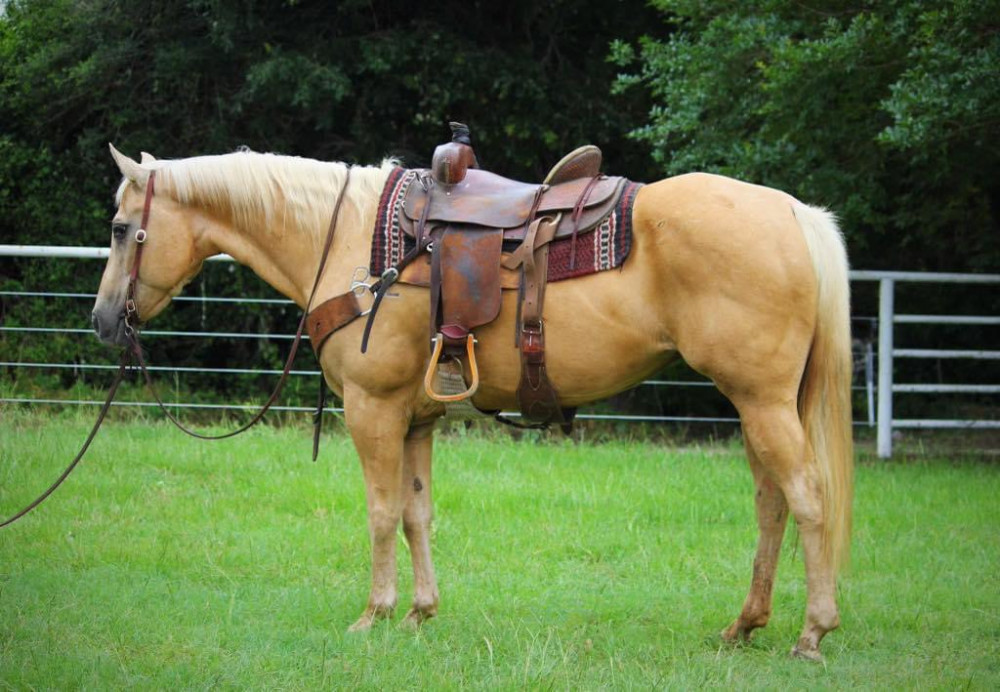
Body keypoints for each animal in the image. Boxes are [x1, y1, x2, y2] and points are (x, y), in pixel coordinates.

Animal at [93, 144, 853, 660]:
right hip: (756, 405)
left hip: (763, 402)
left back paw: (813, 632)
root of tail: (792, 212)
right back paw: (745, 624)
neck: (350, 242)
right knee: (771, 505)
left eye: (121, 227)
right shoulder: (416, 421)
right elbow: (416, 514)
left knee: (808, 498)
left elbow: (379, 513)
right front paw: (419, 613)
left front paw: (373, 615)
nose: (103, 322)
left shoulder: (372, 411)